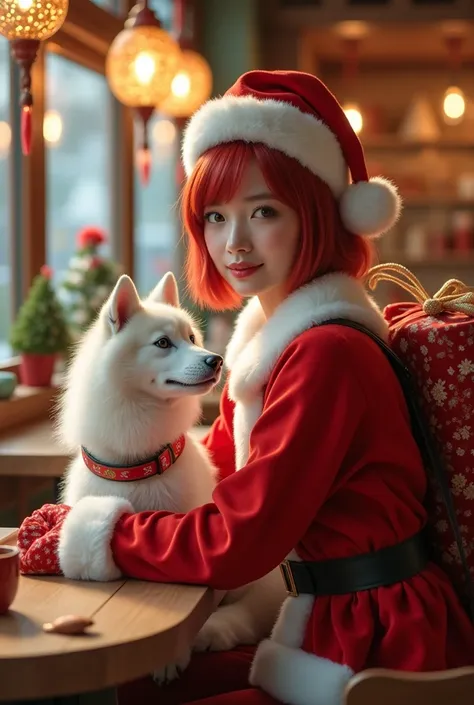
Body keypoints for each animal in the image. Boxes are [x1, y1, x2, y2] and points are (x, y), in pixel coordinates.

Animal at [56, 270, 286, 680]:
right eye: (163, 343)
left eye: (192, 338)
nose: (215, 359)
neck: (140, 467)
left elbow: (196, 616)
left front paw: (170, 659)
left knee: (252, 614)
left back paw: (215, 631)